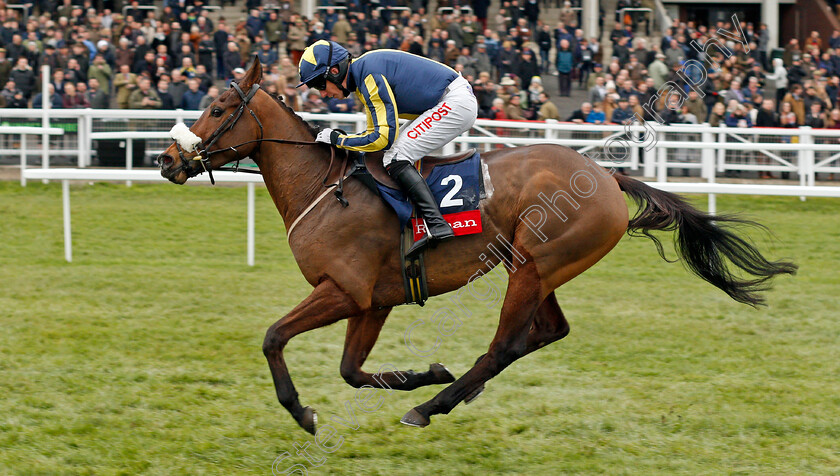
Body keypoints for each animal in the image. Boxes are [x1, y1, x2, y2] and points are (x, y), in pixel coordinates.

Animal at [156, 57, 796, 434]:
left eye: (217, 108)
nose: (166, 160)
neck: (323, 187)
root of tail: (608, 177)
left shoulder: (344, 291)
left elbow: (274, 338)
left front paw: (304, 413)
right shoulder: (374, 300)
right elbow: (351, 370)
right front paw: (423, 373)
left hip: (534, 266)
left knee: (507, 343)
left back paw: (432, 406)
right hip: (537, 267)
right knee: (546, 332)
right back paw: (451, 391)